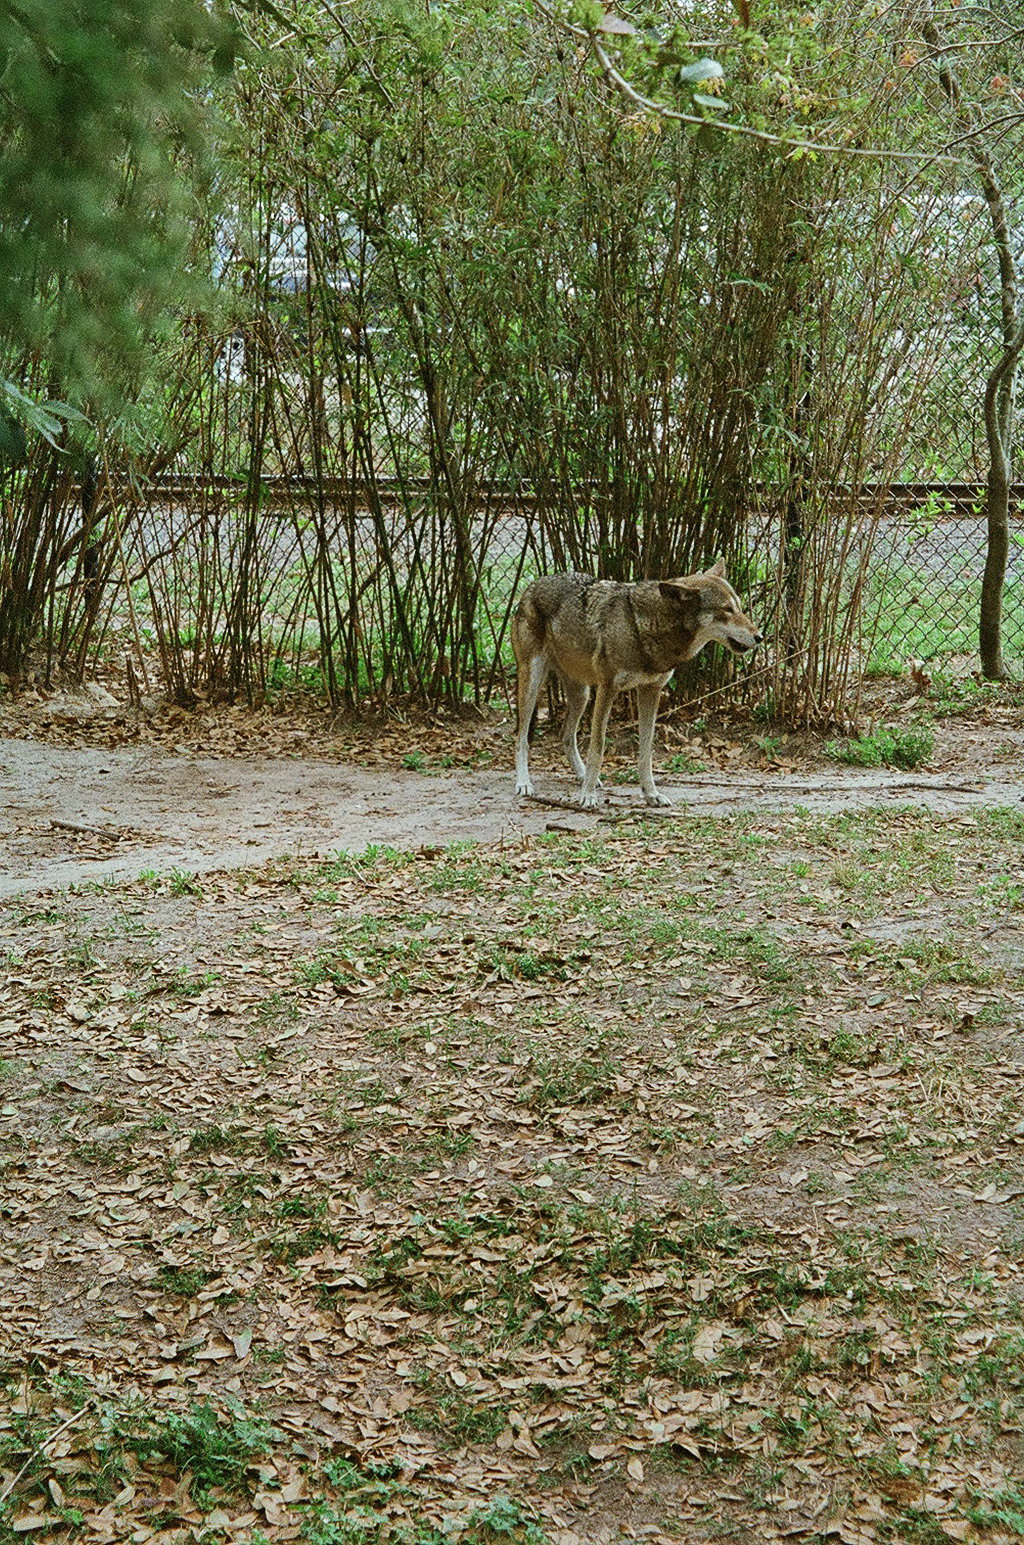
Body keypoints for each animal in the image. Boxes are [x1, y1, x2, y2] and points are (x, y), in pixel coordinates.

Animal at [512, 561, 761, 809]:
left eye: (739, 607)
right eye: (727, 610)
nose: (759, 637)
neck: (645, 628)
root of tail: (533, 584)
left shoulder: (651, 691)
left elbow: (646, 750)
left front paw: (651, 794)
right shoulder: (607, 689)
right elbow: (598, 746)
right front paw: (588, 796)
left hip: (582, 695)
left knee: (566, 735)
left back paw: (581, 775)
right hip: (533, 685)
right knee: (522, 737)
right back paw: (524, 783)